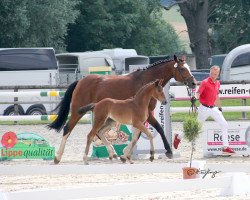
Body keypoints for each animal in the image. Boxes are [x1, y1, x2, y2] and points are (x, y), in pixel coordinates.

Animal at [47, 55, 196, 164]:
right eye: (182, 69)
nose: (194, 83)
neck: (146, 82)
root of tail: (80, 81)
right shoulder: (146, 114)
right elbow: (157, 129)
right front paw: (168, 151)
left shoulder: (142, 116)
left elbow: (139, 134)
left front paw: (125, 153)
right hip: (78, 112)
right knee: (68, 129)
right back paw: (58, 157)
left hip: (107, 118)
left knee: (98, 132)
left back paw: (112, 152)